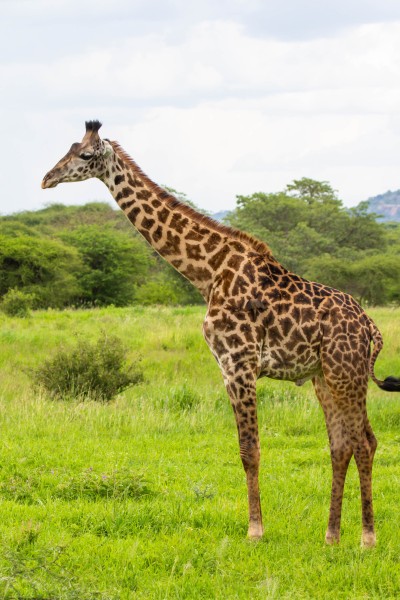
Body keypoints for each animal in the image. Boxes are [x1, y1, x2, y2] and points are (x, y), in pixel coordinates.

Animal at [42, 119, 398, 548]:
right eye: (68, 148)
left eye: (85, 155)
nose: (47, 178)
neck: (207, 274)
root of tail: (371, 327)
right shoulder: (233, 367)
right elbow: (252, 449)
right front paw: (260, 528)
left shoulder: (237, 364)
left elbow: (249, 451)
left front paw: (255, 531)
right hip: (325, 376)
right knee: (342, 444)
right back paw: (331, 536)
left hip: (346, 373)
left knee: (364, 442)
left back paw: (367, 538)